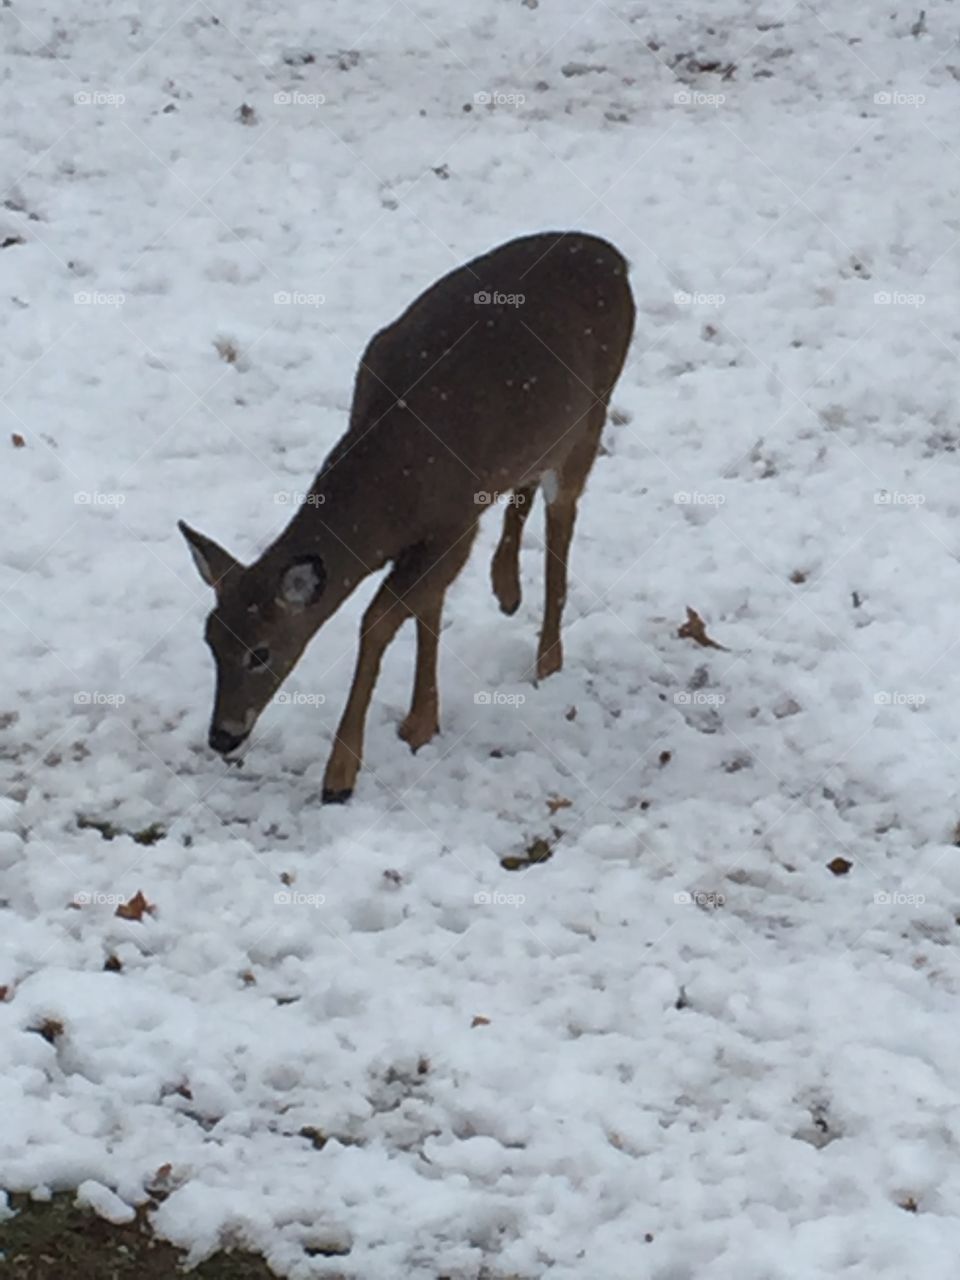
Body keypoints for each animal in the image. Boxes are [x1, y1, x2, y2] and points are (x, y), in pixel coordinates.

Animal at [179, 230, 635, 803]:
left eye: (260, 652)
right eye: (210, 638)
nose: (222, 736)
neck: (395, 482)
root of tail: (614, 256)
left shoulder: (455, 522)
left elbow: (378, 621)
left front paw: (341, 774)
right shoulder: (443, 533)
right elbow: (428, 609)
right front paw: (421, 722)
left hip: (592, 415)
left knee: (563, 522)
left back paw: (548, 659)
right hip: (545, 431)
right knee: (527, 488)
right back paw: (506, 589)